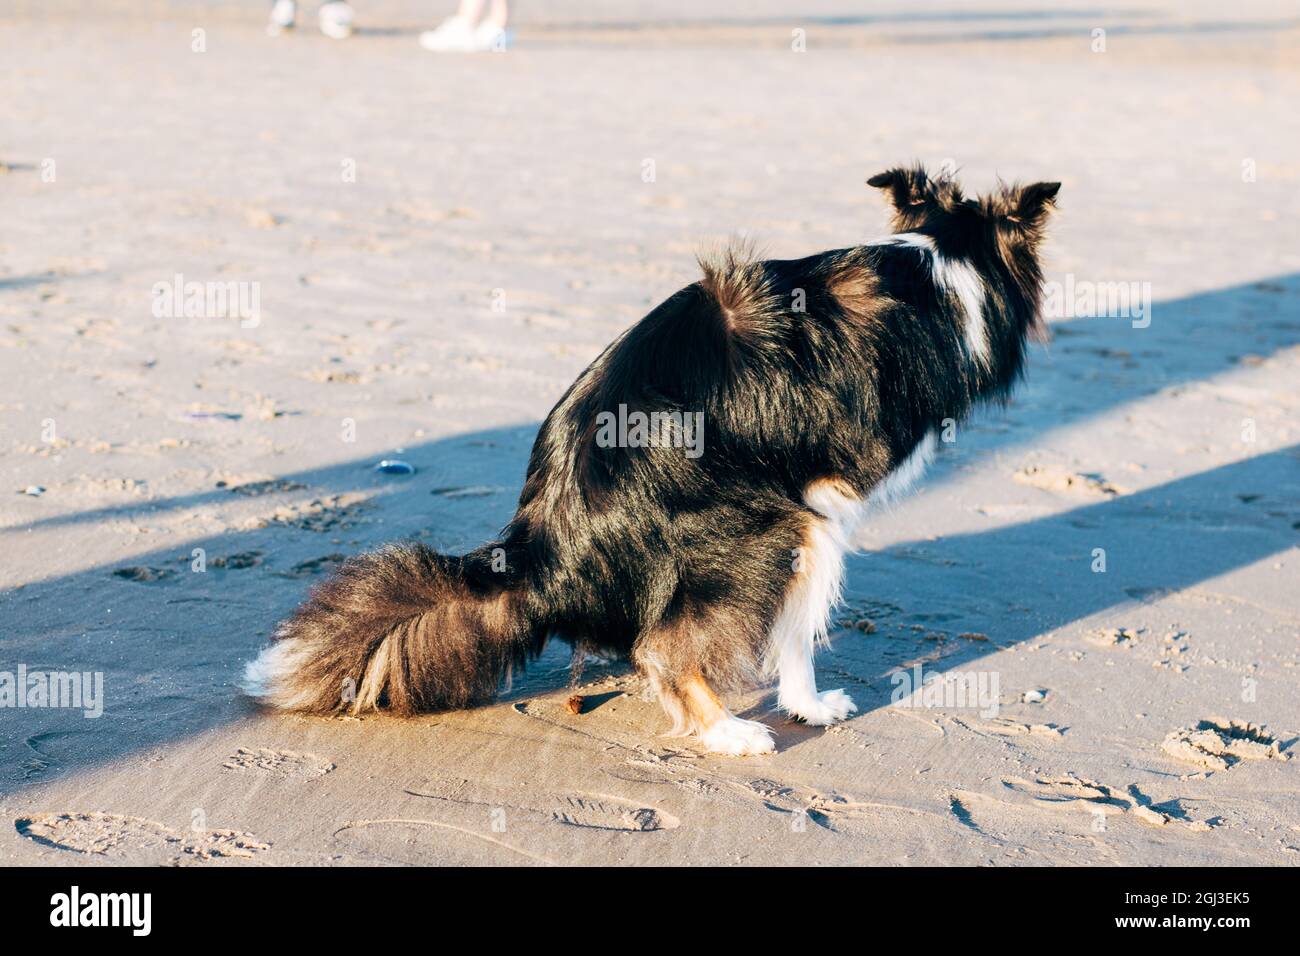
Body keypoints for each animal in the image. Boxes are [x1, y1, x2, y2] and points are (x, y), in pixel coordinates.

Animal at [244, 167, 1055, 759]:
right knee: (665, 648)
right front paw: (808, 703)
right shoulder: (823, 504)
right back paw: (730, 731)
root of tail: (541, 556)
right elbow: (799, 627)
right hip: (761, 527)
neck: (938, 266)